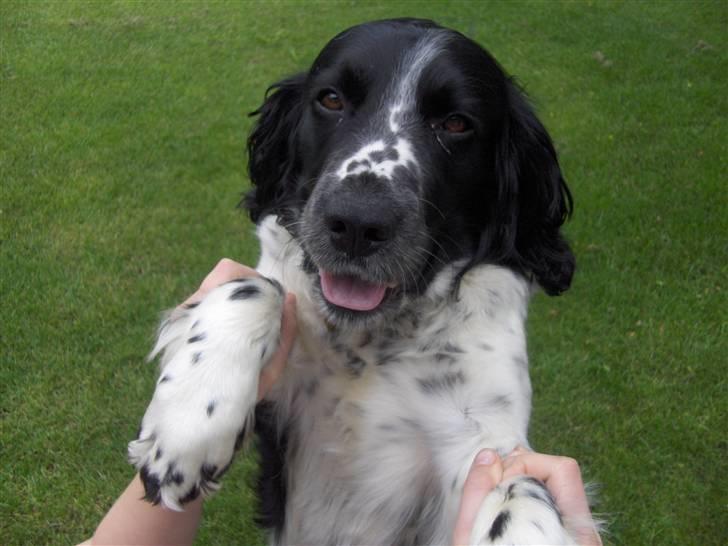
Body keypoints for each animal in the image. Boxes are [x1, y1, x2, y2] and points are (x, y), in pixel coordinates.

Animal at [129, 18, 584, 544]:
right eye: (331, 99)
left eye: (456, 123)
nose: (357, 223)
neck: (370, 345)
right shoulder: (282, 416)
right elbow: (258, 287)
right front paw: (188, 425)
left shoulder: (481, 440)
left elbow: (518, 483)